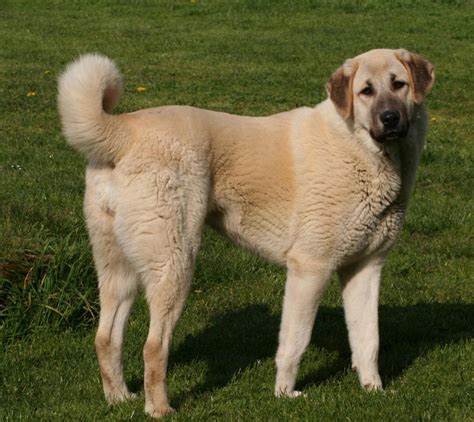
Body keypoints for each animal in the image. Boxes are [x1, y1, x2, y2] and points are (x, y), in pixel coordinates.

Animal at [58, 47, 434, 418]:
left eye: (398, 84)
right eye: (365, 91)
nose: (390, 118)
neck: (361, 149)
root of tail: (123, 131)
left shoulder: (365, 269)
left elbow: (368, 339)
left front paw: (374, 390)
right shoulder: (310, 268)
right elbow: (295, 341)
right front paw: (285, 394)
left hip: (117, 268)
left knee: (106, 337)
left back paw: (119, 398)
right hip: (175, 261)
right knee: (154, 346)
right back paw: (160, 408)